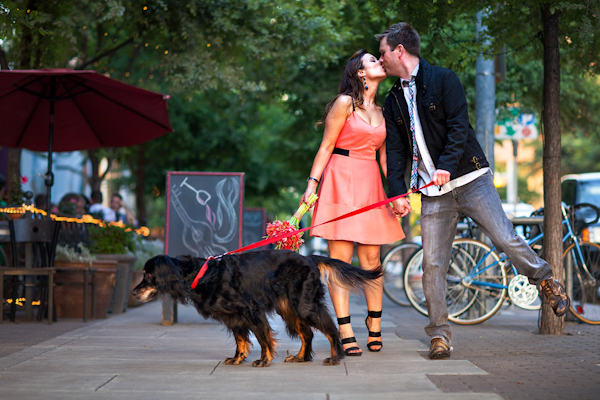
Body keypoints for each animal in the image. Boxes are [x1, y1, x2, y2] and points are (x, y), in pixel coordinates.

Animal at [134, 252, 382, 368]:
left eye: (148, 274)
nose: (134, 293)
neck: (201, 275)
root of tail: (309, 258)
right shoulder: (234, 317)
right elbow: (241, 340)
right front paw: (237, 358)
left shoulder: (250, 310)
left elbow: (263, 338)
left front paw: (263, 360)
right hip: (288, 307)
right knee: (307, 333)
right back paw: (300, 358)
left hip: (304, 305)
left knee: (331, 329)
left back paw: (335, 356)